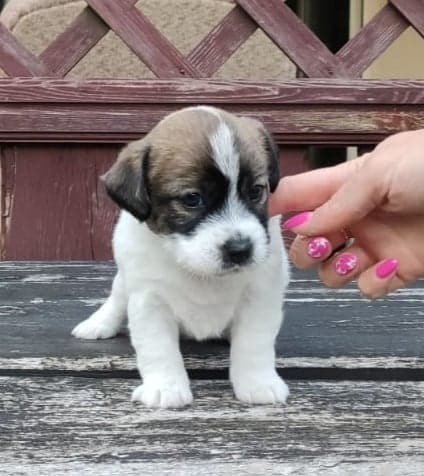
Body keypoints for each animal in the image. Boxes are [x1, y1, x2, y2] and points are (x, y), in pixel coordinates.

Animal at [73, 106, 292, 408]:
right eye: (192, 199)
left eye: (256, 191)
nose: (240, 249)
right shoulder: (149, 300)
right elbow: (158, 348)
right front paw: (165, 387)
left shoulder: (260, 295)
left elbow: (254, 342)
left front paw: (257, 382)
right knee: (117, 297)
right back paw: (99, 322)